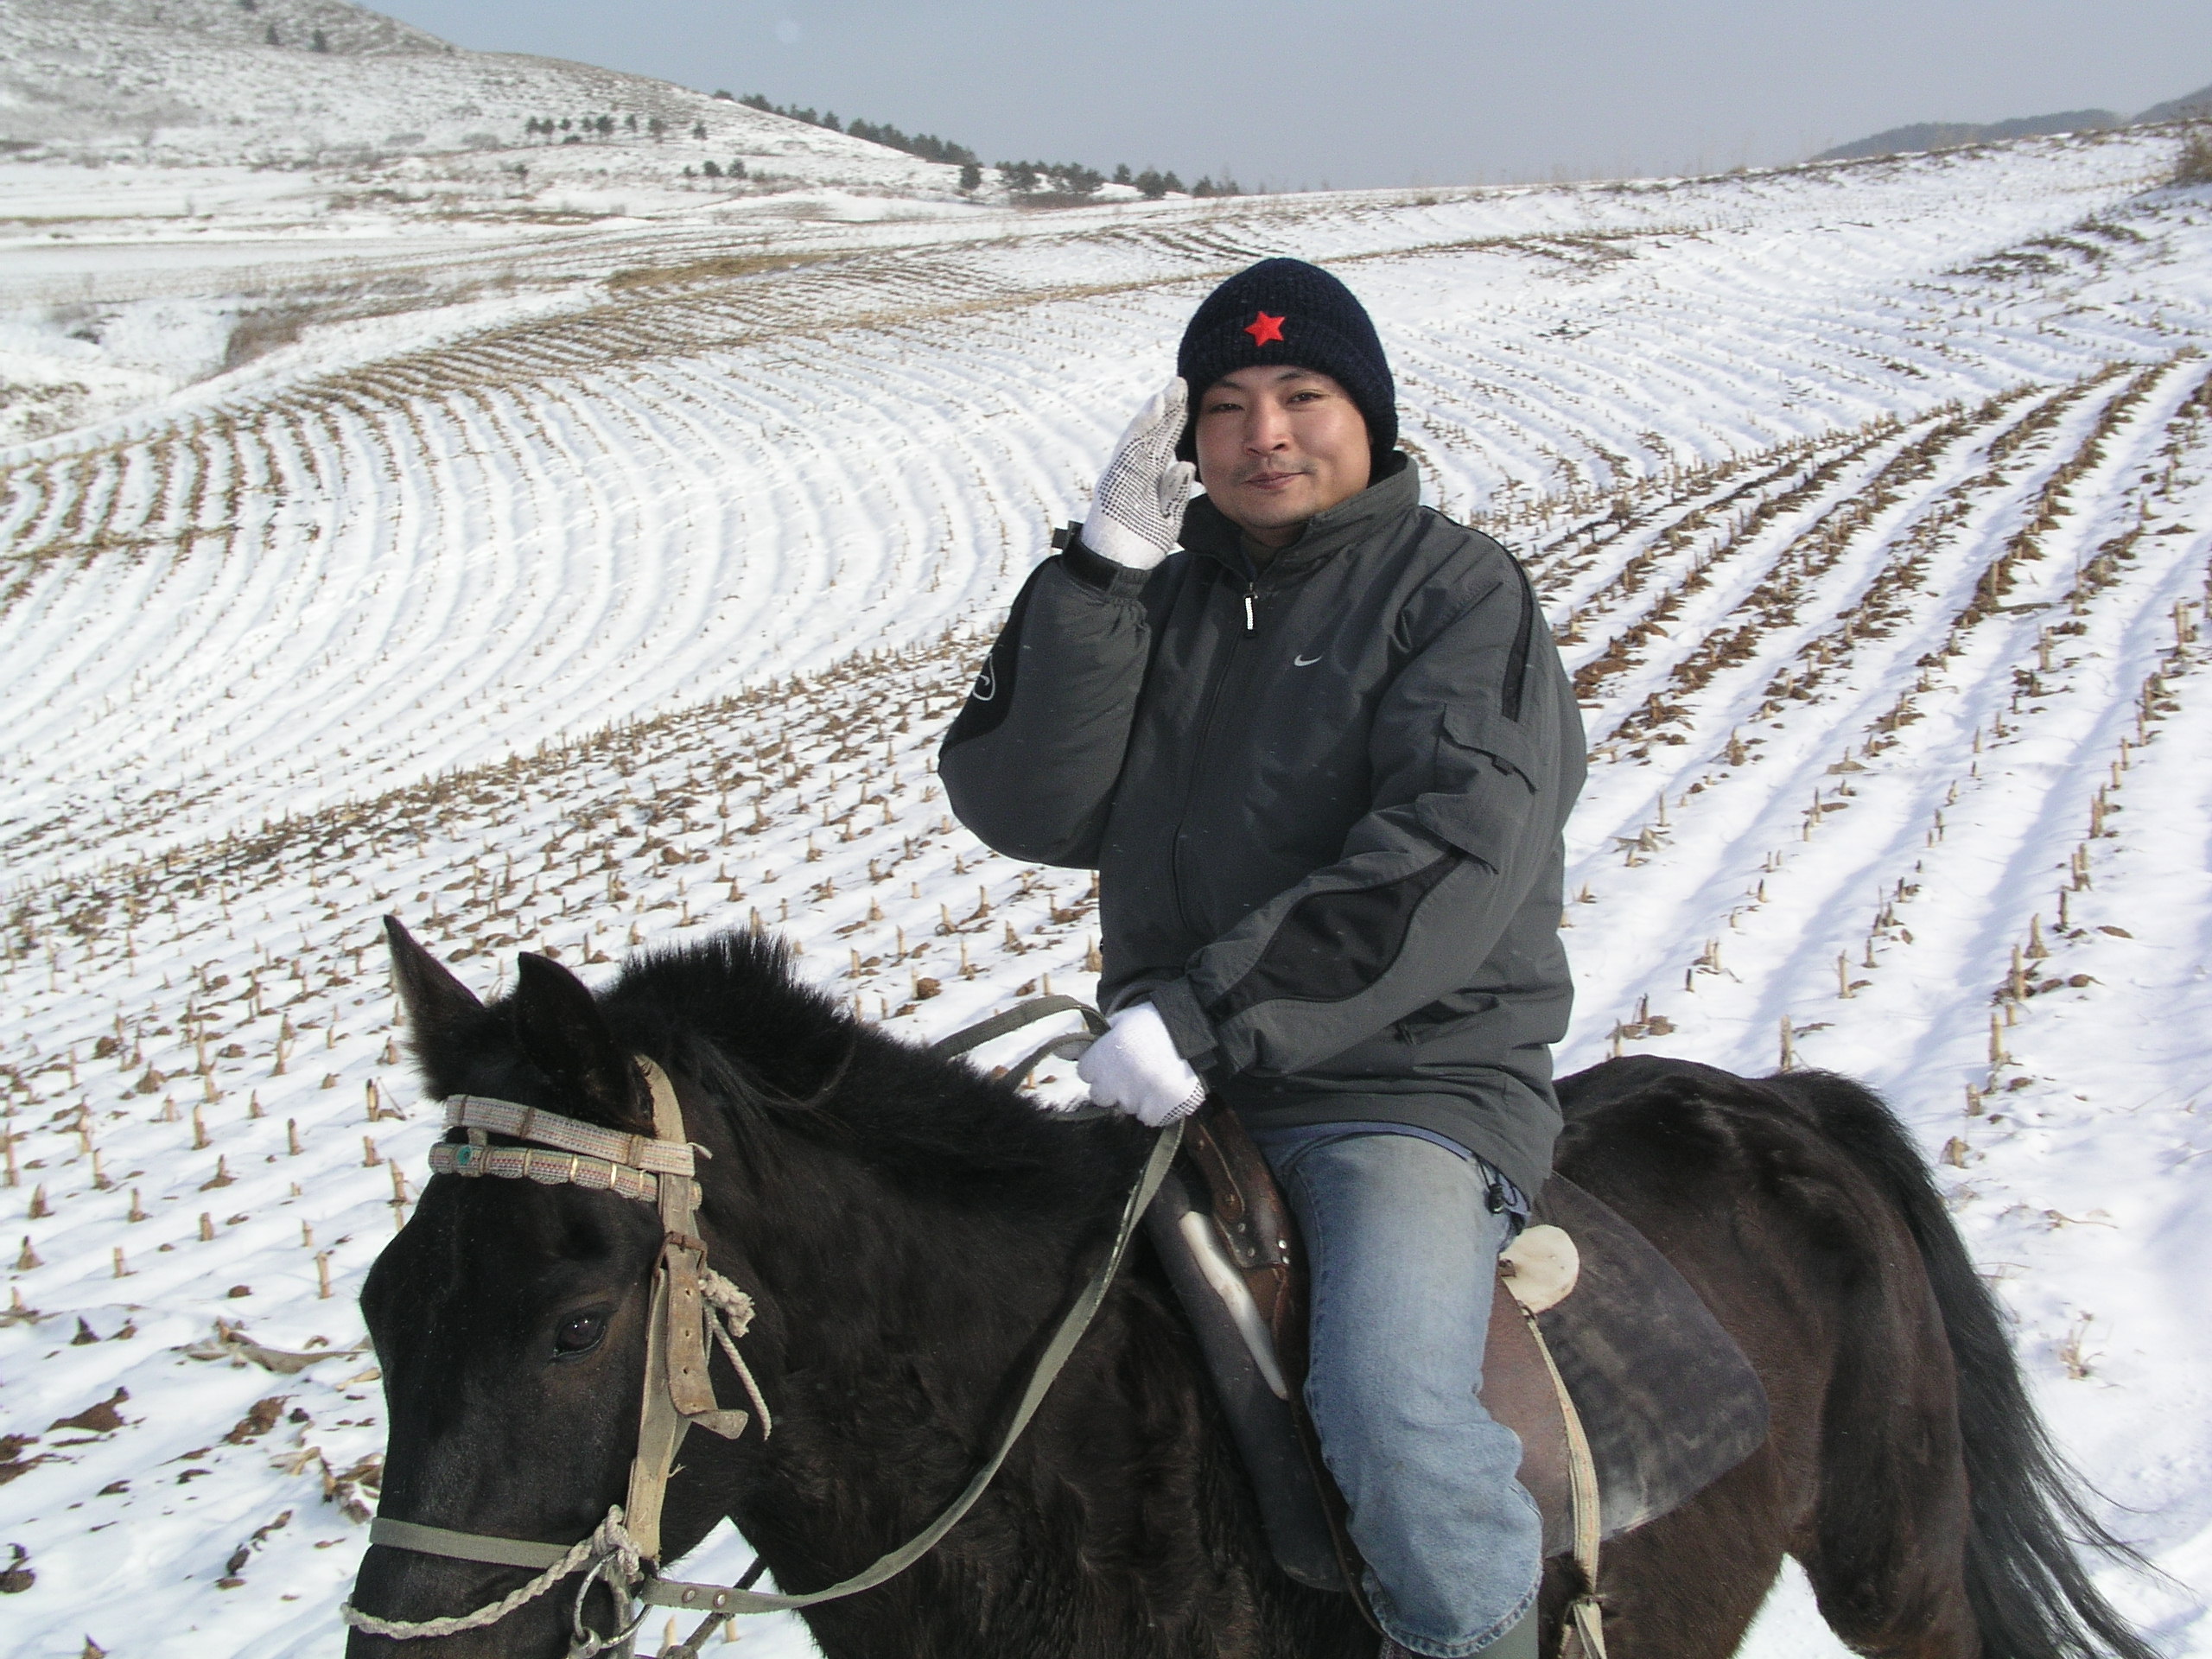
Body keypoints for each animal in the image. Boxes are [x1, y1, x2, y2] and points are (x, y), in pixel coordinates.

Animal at [349, 925, 2158, 1659]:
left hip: (1894, 1576)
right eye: (379, 1308)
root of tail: (1786, 1106)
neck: (1046, 1464)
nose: (404, 1650)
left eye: (576, 1325)